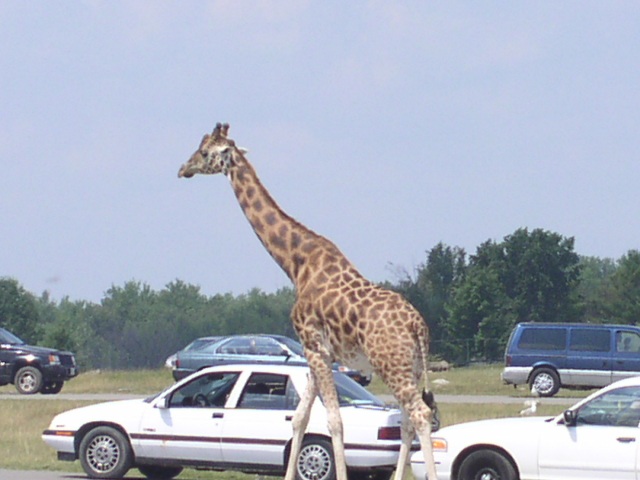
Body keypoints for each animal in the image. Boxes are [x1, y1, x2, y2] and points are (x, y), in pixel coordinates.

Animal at [178, 123, 439, 480]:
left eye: (204, 152)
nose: (183, 169)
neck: (295, 263)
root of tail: (418, 326)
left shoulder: (313, 345)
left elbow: (333, 420)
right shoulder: (318, 352)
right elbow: (301, 418)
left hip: (392, 364)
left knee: (420, 414)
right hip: (409, 366)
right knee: (407, 421)